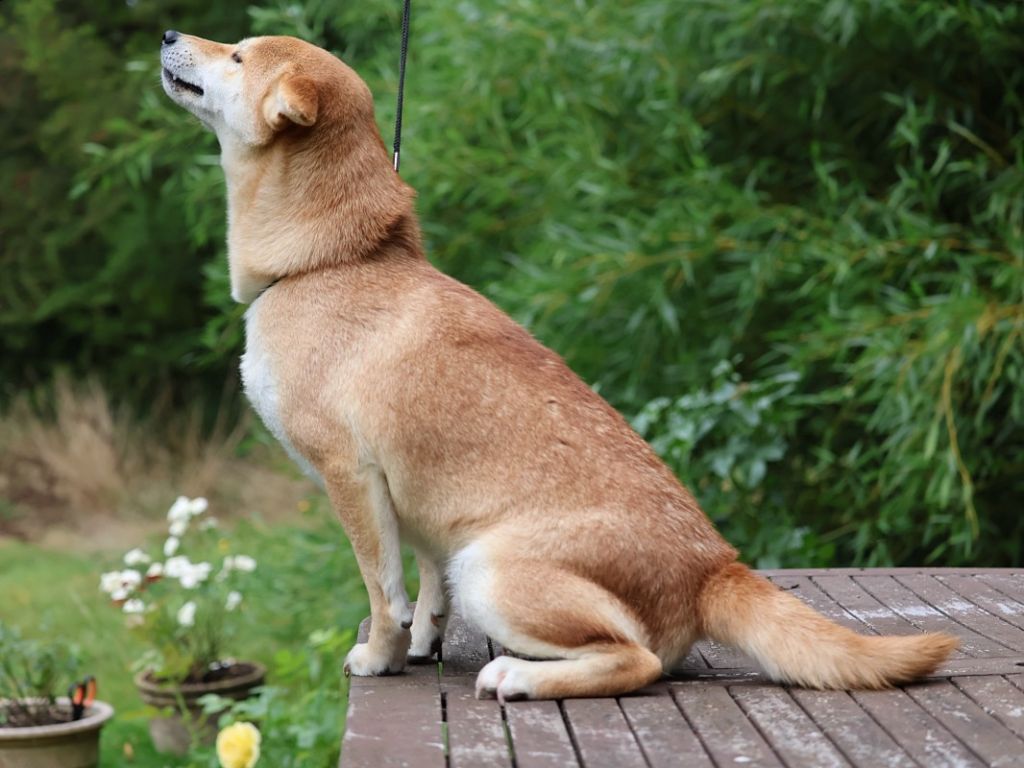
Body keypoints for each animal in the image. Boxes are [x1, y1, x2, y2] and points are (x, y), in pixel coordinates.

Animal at [161, 30, 958, 704]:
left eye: (237, 55)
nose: (170, 36)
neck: (332, 260)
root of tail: (713, 570)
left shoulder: (350, 477)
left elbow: (382, 593)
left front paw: (381, 658)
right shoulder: (421, 510)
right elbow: (424, 591)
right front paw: (420, 645)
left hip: (490, 570)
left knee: (635, 662)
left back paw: (517, 676)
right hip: (473, 558)